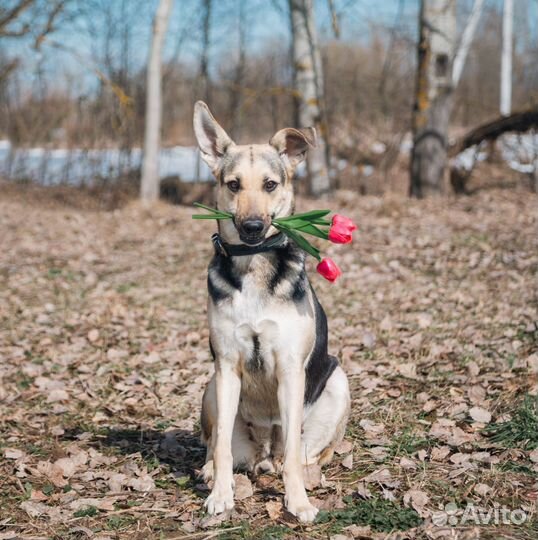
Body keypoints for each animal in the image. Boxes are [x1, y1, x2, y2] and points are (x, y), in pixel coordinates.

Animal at [193, 102, 348, 524]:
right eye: (233, 185)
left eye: (270, 185)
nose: (251, 227)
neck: (254, 263)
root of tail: (263, 452)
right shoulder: (227, 365)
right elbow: (222, 446)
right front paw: (220, 495)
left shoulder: (291, 368)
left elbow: (293, 450)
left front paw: (298, 503)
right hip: (211, 387)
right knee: (217, 443)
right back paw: (211, 470)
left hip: (338, 381)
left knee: (303, 453)